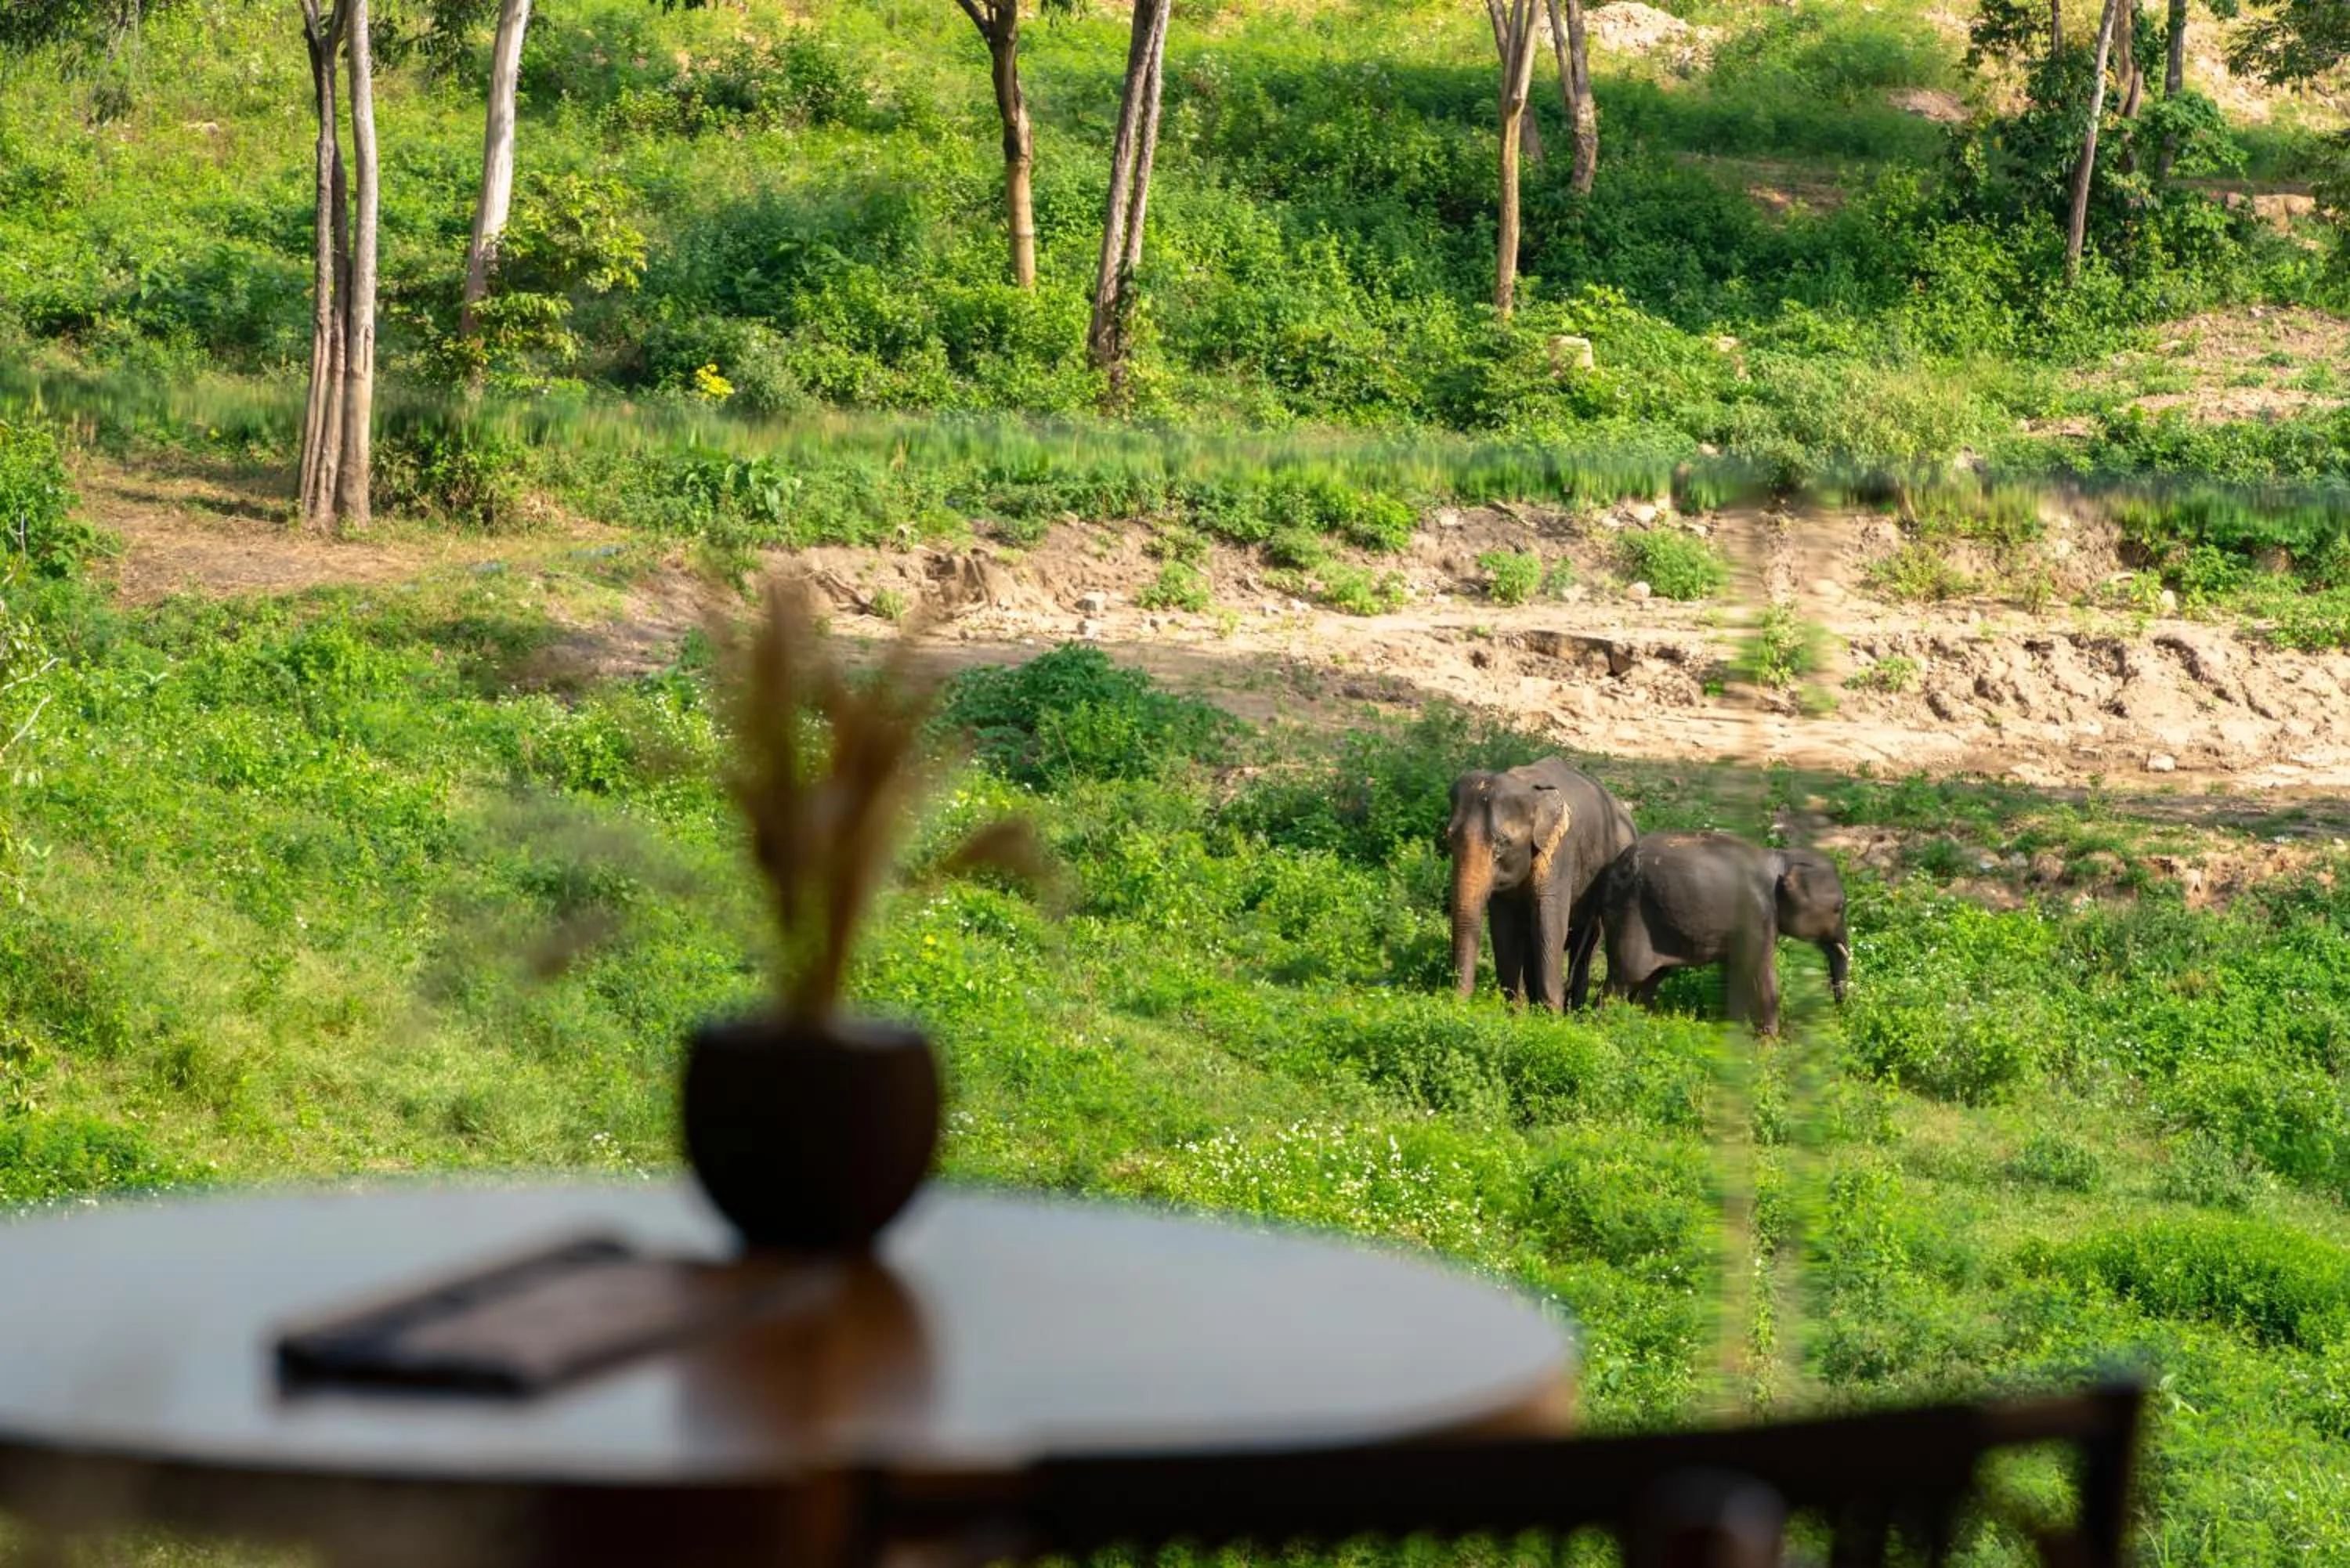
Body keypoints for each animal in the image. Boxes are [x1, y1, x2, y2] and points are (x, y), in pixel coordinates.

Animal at [1447, 759, 1640, 1011]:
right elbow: (1503, 926)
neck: (1528, 787)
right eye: (1449, 836)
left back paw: (1575, 1011)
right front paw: (1516, 1013)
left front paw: (1551, 1016)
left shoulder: (1559, 852)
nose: (1459, 1004)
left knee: (1588, 944)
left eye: (1502, 843)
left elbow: (1549, 919)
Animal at [1595, 832, 1851, 1035]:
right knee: (1625, 977)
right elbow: (1760, 969)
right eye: (1839, 908)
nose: (1840, 1017)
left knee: (1651, 978)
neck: (1783, 858)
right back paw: (1606, 1028)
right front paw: (1769, 1047)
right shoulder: (1757, 914)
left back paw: (1643, 1023)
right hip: (1629, 915)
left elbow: (1736, 970)